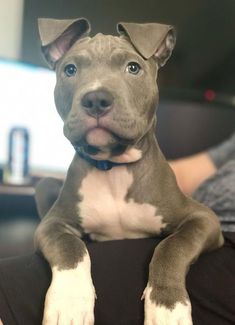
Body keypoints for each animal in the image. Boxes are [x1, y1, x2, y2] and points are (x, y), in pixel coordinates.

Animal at [35, 18, 224, 324]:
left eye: (133, 68)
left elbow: (172, 246)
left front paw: (167, 307)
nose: (96, 99)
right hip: (44, 186)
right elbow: (71, 249)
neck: (113, 167)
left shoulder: (203, 218)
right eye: (70, 70)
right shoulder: (52, 224)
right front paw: (70, 303)